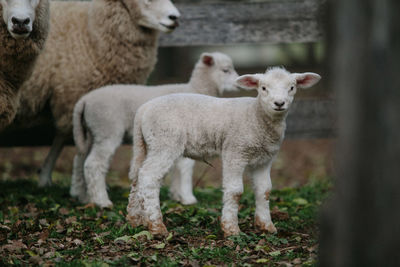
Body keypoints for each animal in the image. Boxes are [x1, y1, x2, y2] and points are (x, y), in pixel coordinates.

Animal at [7, 0, 180, 187]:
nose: (175, 18)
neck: (90, 34)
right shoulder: (73, 95)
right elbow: (67, 138)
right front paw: (51, 177)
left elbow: (65, 138)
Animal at [70, 52, 239, 209]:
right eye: (225, 70)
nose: (238, 83)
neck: (196, 88)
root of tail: (84, 100)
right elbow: (185, 167)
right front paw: (188, 198)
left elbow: (177, 167)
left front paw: (176, 195)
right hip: (107, 129)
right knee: (93, 164)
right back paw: (102, 201)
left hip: (90, 133)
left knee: (80, 159)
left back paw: (83, 196)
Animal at [126, 68, 320, 238]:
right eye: (263, 88)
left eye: (292, 87)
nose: (279, 103)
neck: (255, 116)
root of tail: (143, 110)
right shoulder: (235, 152)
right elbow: (235, 191)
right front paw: (231, 229)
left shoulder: (264, 160)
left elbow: (264, 190)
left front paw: (266, 226)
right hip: (164, 142)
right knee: (149, 177)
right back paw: (157, 226)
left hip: (146, 144)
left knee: (137, 177)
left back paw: (135, 219)